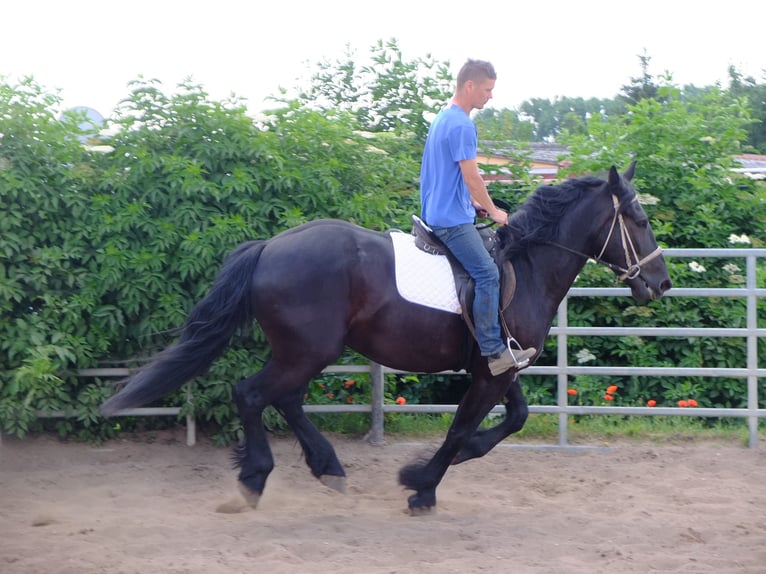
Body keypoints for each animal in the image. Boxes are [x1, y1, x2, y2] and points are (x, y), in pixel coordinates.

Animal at [100, 163, 672, 516]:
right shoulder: (488, 375)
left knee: (283, 398)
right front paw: (421, 485)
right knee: (254, 394)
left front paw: (439, 472)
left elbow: (513, 420)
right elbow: (462, 430)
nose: (661, 282)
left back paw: (326, 468)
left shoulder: (498, 365)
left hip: (304, 352)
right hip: (309, 350)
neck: (525, 266)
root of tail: (270, 247)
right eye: (640, 218)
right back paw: (257, 479)